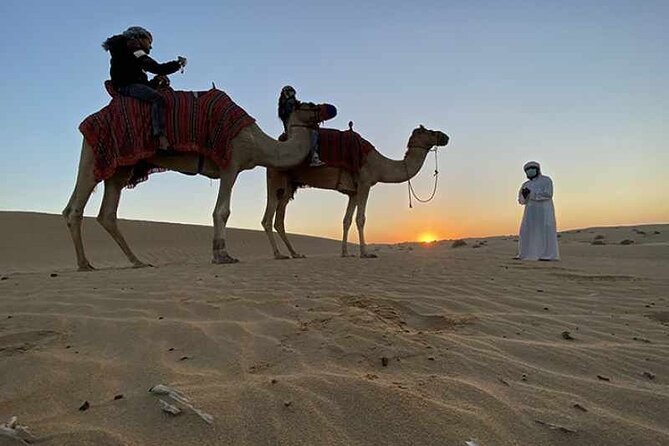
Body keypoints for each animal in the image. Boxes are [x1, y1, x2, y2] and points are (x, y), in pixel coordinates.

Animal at [63, 97, 336, 271]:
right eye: (310, 105)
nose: (332, 108)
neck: (256, 143)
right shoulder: (231, 163)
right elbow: (222, 211)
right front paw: (222, 255)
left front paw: (220, 253)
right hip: (95, 157)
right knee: (76, 208)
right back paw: (84, 264)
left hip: (119, 168)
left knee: (104, 213)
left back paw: (136, 261)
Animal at [261, 125, 449, 259]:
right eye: (429, 132)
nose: (445, 136)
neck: (379, 165)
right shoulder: (365, 183)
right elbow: (361, 219)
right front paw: (365, 253)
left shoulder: (353, 192)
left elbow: (347, 220)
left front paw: (345, 253)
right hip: (276, 177)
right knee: (268, 217)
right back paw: (279, 254)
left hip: (289, 185)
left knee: (279, 218)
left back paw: (295, 253)